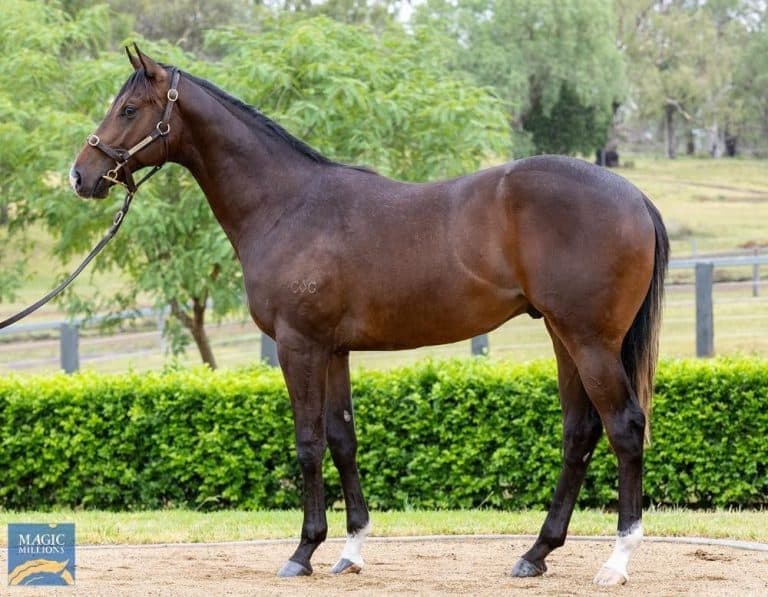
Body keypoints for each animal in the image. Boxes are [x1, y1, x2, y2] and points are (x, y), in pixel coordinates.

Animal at [70, 46, 669, 586]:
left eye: (129, 109)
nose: (81, 175)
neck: (288, 205)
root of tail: (635, 196)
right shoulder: (333, 349)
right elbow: (342, 438)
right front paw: (350, 549)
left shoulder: (298, 345)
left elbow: (308, 442)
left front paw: (303, 551)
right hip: (563, 336)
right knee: (579, 433)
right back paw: (536, 553)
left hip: (589, 341)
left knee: (623, 427)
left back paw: (617, 560)